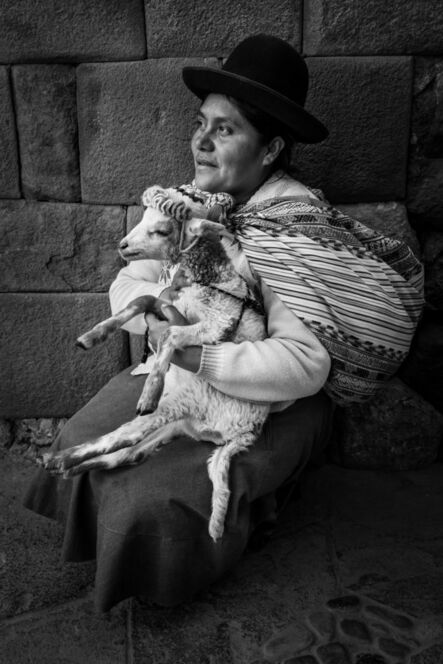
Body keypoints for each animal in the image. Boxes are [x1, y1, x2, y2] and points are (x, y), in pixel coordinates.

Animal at [42, 184, 270, 544]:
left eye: (162, 230)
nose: (122, 245)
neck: (202, 278)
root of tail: (244, 434)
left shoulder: (215, 324)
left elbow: (171, 335)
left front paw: (151, 386)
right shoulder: (166, 302)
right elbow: (139, 301)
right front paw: (91, 336)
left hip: (183, 403)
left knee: (128, 433)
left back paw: (60, 457)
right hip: (178, 425)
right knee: (129, 453)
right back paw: (72, 467)